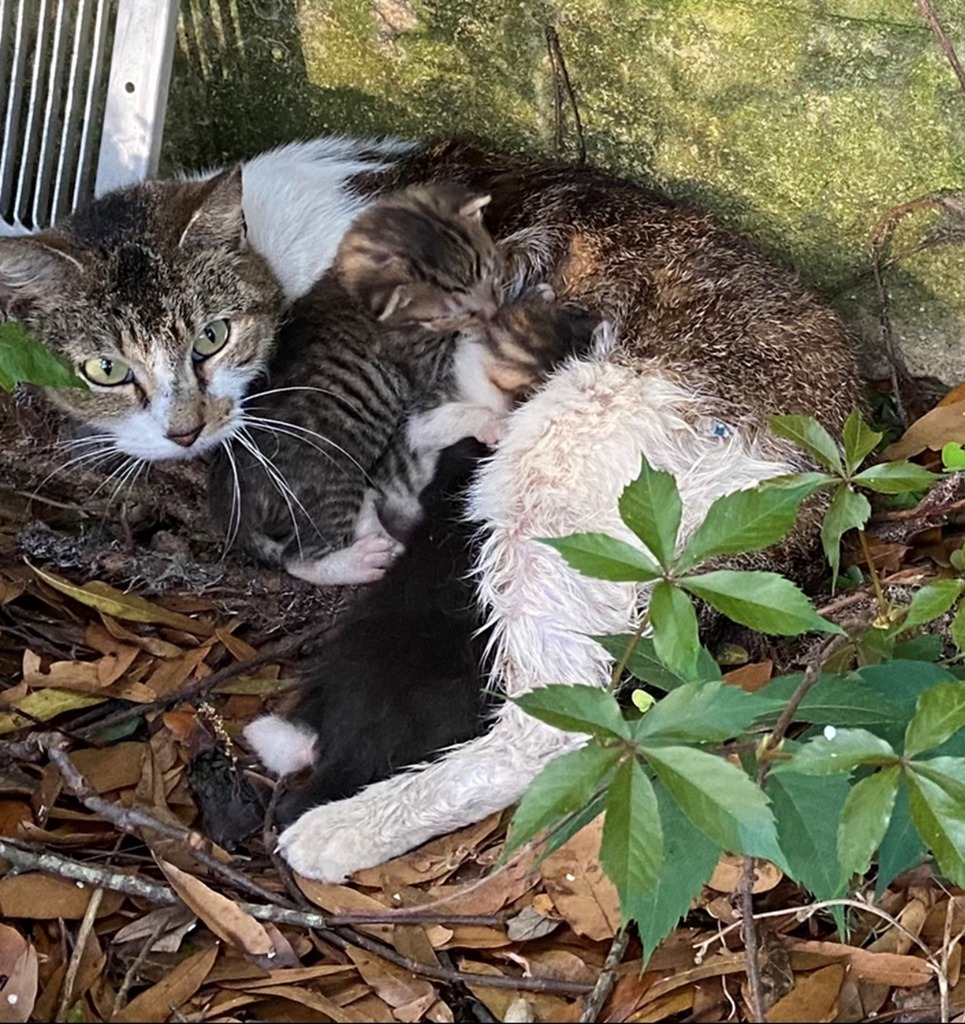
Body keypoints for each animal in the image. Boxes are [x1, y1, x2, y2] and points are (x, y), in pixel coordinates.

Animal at [0, 136, 860, 884]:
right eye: (105, 370)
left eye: (211, 337)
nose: (184, 429)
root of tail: (833, 447)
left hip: (561, 450)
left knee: (552, 729)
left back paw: (341, 827)